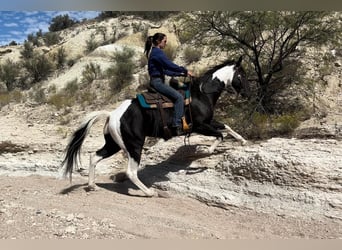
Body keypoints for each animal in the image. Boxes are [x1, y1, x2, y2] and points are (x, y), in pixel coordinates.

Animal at [61, 55, 250, 196]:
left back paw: (92, 185)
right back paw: (149, 192)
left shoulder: (209, 122)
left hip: (113, 144)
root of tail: (112, 114)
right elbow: (220, 135)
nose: (247, 93)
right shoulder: (200, 126)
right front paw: (204, 151)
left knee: (94, 157)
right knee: (131, 172)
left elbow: (226, 127)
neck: (201, 94)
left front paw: (242, 141)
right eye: (241, 76)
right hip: (134, 145)